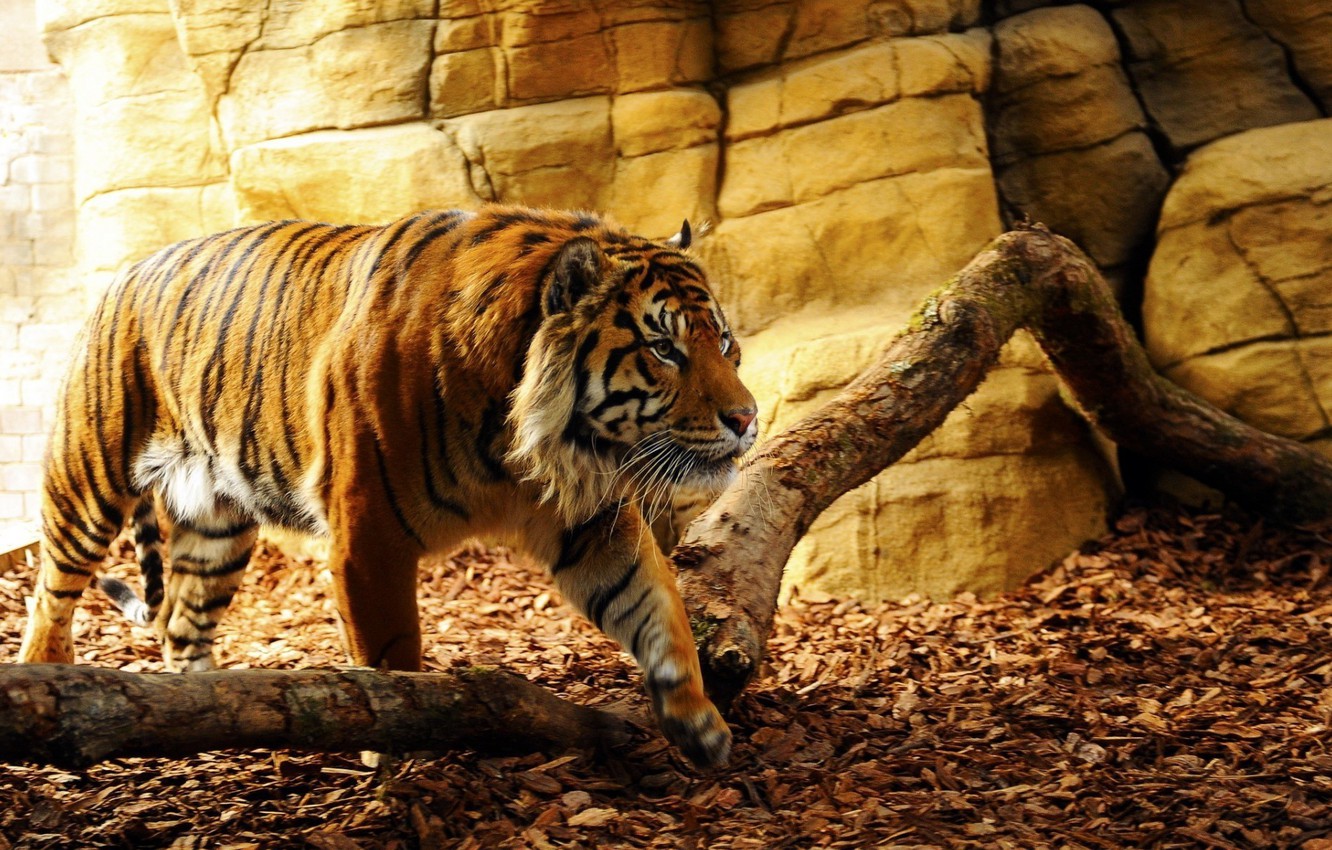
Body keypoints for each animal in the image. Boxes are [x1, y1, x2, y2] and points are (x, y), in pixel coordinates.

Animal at [17, 205, 758, 768]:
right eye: (664, 350)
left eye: (725, 343)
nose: (748, 419)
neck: (531, 440)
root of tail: (125, 273)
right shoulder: (369, 537)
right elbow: (395, 657)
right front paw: (405, 754)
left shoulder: (591, 520)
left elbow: (658, 605)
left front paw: (698, 721)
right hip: (88, 479)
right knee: (50, 594)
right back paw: (49, 675)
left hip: (217, 525)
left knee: (180, 623)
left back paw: (212, 711)